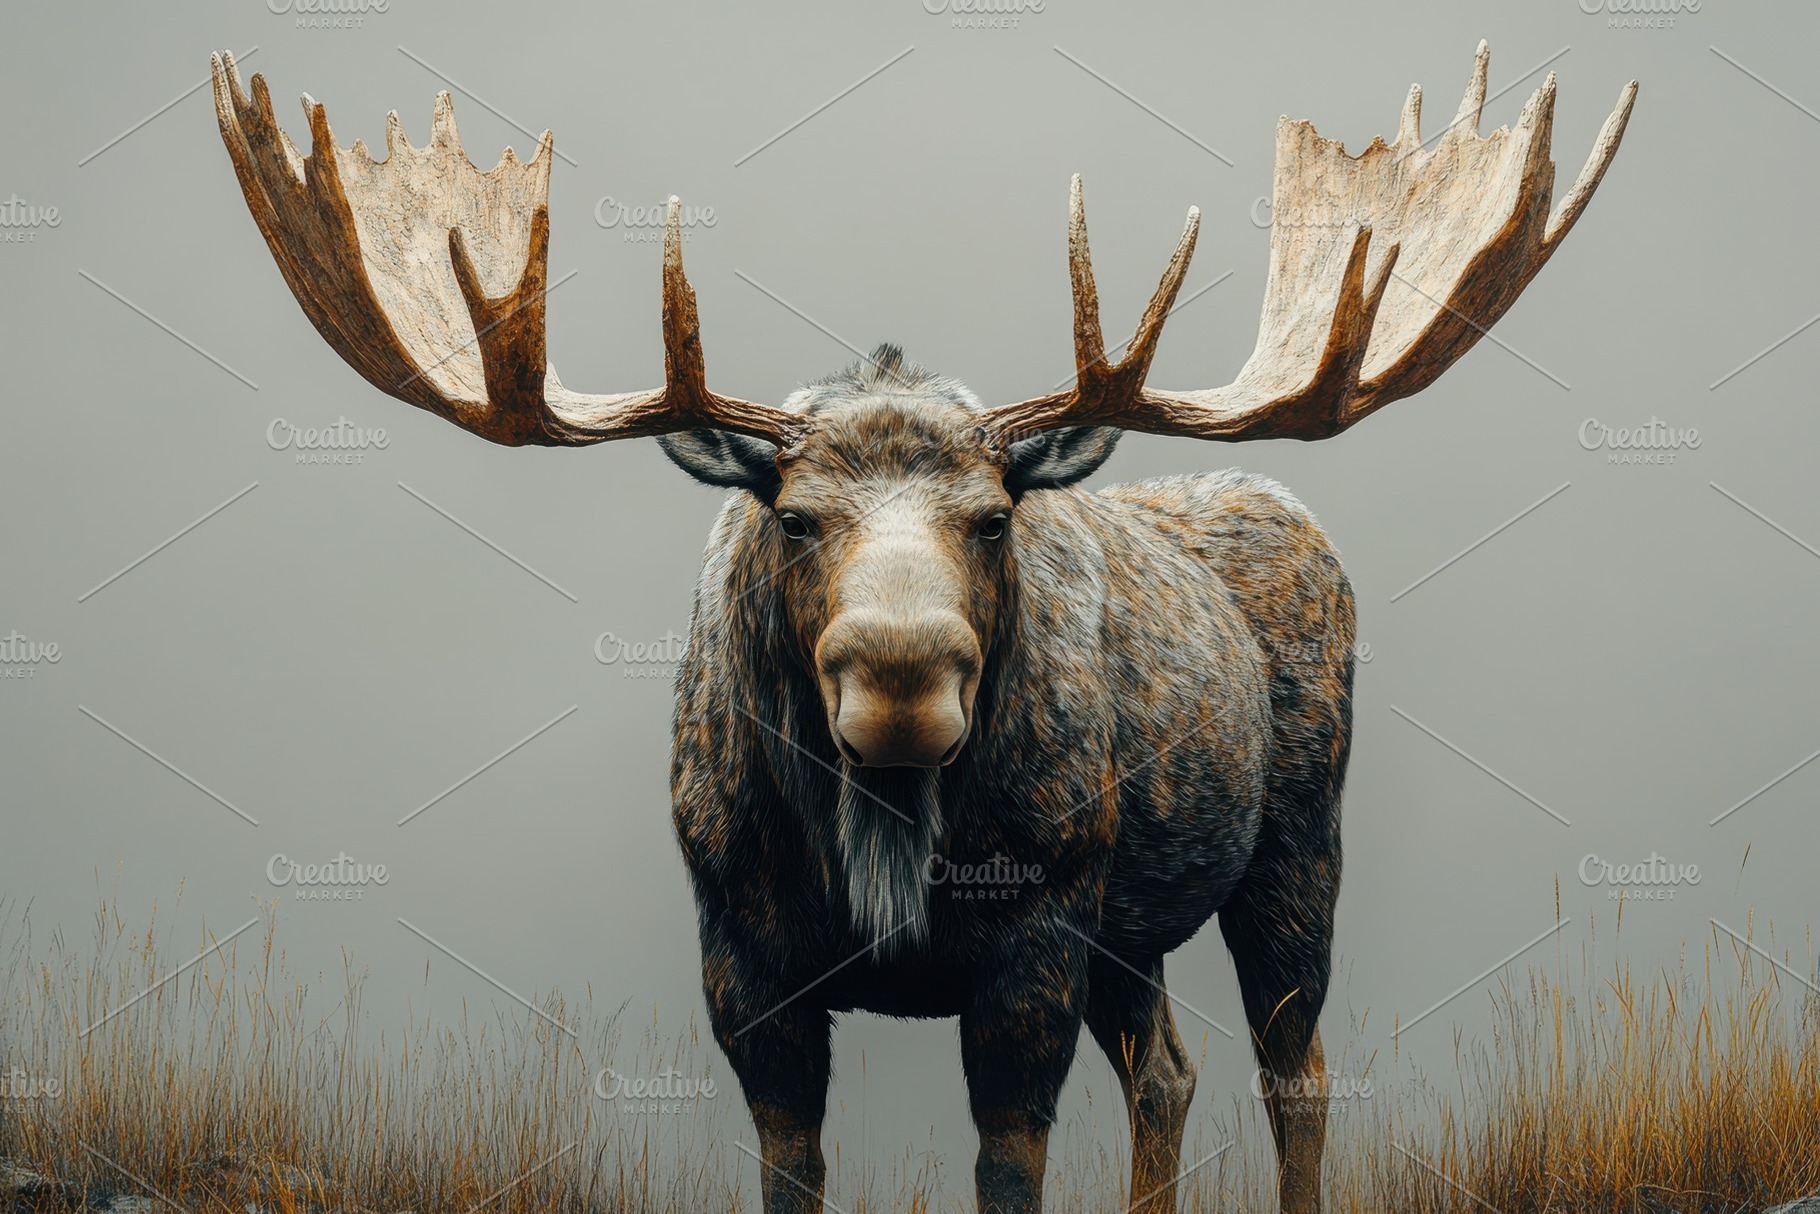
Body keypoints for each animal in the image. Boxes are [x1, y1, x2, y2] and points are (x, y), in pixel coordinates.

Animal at [208, 43, 1634, 1213]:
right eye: (792, 515)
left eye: (992, 515)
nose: (900, 680)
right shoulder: (741, 954)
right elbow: (792, 1165)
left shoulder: (1036, 934)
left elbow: (1009, 1163)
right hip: (1131, 922)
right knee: (1166, 1071)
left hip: (1291, 845)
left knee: (1297, 1070)